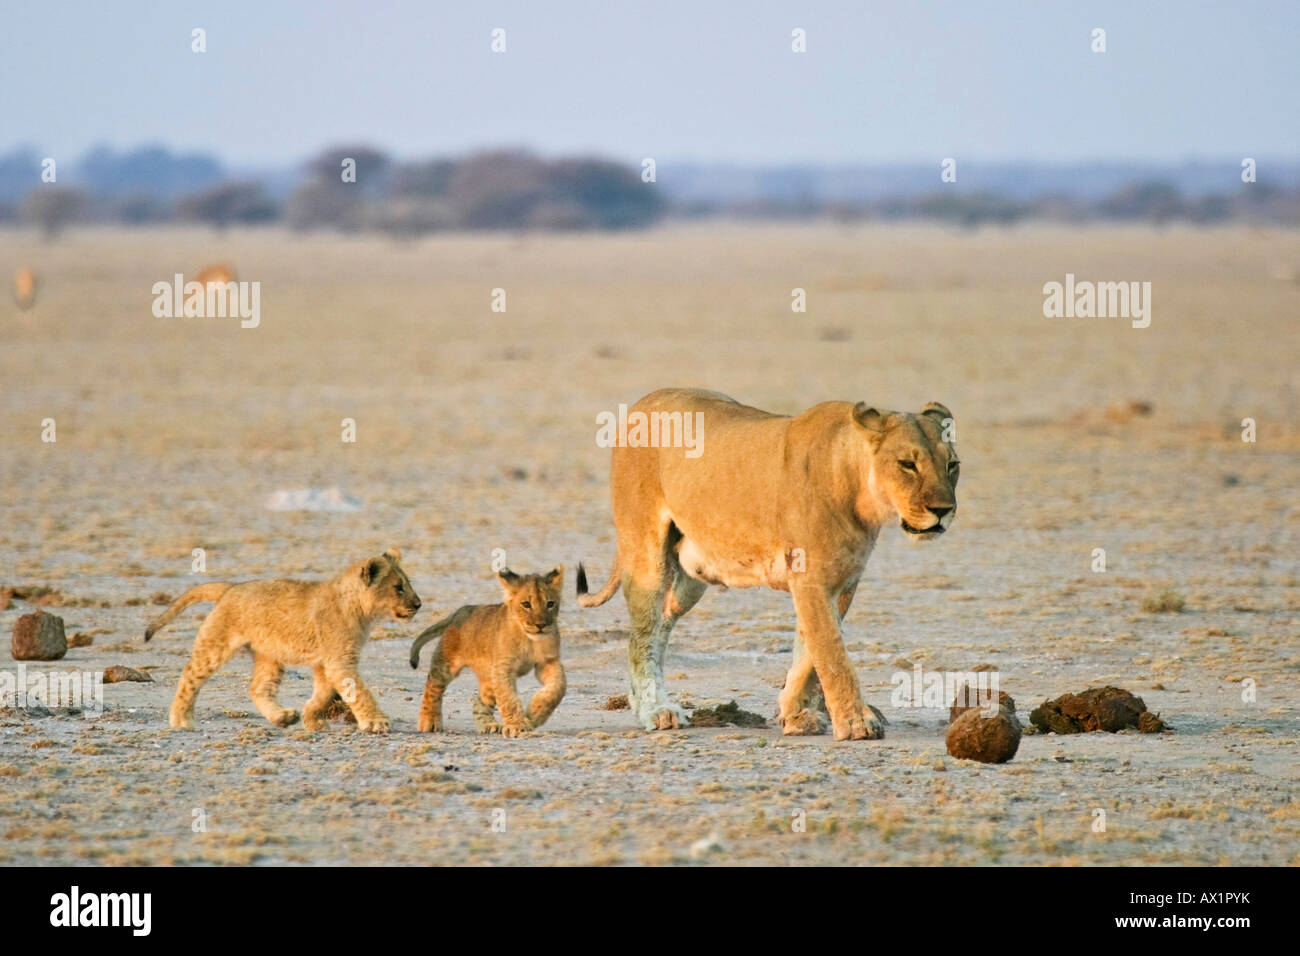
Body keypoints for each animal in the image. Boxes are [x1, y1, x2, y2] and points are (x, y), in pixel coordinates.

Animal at [144, 547, 421, 732]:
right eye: (398, 587)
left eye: (407, 584)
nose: (419, 604)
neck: (361, 610)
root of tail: (230, 588)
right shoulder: (340, 660)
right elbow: (359, 692)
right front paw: (376, 722)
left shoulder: (326, 663)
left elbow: (322, 695)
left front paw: (312, 720)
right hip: (216, 645)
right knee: (190, 675)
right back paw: (181, 720)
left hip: (269, 655)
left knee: (258, 688)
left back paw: (282, 717)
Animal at [409, 568, 565, 738]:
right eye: (526, 604)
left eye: (550, 604)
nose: (541, 625)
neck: (530, 640)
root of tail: (461, 611)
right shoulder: (503, 668)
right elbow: (508, 698)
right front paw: (517, 726)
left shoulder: (548, 661)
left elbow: (558, 688)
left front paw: (534, 715)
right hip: (446, 663)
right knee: (433, 686)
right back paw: (429, 721)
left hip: (489, 678)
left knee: (479, 703)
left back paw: (489, 725)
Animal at [577, 388, 958, 741]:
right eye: (908, 464)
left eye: (952, 465)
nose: (943, 510)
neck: (859, 494)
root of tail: (642, 402)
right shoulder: (811, 578)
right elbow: (833, 655)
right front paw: (855, 722)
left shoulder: (843, 583)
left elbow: (809, 655)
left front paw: (795, 715)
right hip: (647, 555)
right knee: (641, 634)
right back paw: (655, 709)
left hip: (689, 580)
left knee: (659, 627)